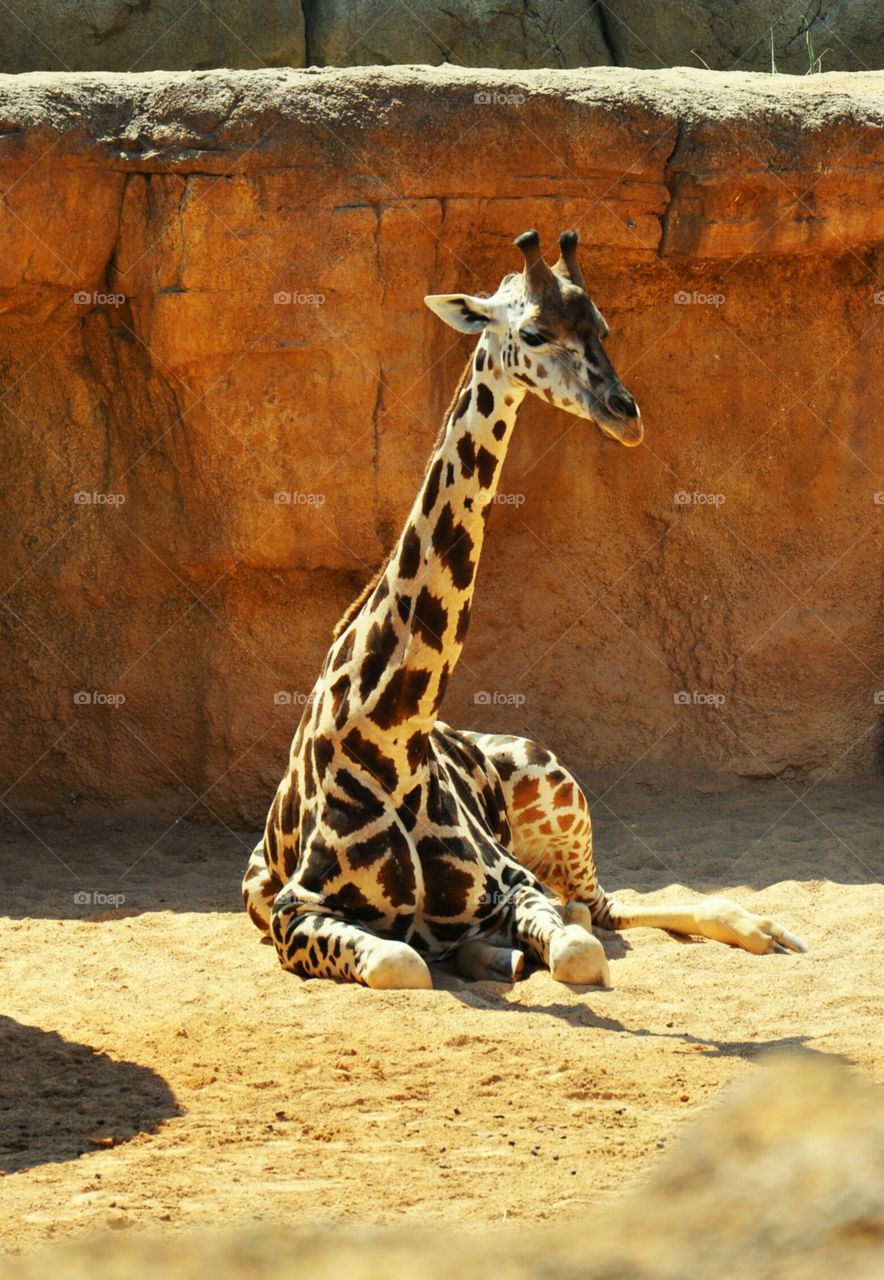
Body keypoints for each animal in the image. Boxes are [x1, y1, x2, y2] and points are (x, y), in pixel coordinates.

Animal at [243, 229, 807, 989]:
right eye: (534, 332)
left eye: (603, 328)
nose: (625, 415)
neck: (392, 732)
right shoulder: (293, 911)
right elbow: (400, 961)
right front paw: (474, 950)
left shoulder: (513, 881)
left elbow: (576, 950)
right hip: (256, 885)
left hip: (560, 788)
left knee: (600, 905)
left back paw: (761, 929)